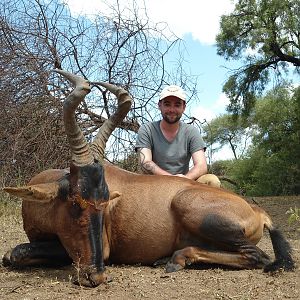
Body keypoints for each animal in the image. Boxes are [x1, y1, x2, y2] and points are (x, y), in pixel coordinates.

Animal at [1, 69, 294, 286]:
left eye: (105, 203)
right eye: (75, 202)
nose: (96, 276)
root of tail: (257, 210)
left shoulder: (102, 249)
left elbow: (14, 252)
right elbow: (13, 254)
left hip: (193, 210)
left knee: (258, 256)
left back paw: (175, 260)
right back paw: (167, 259)